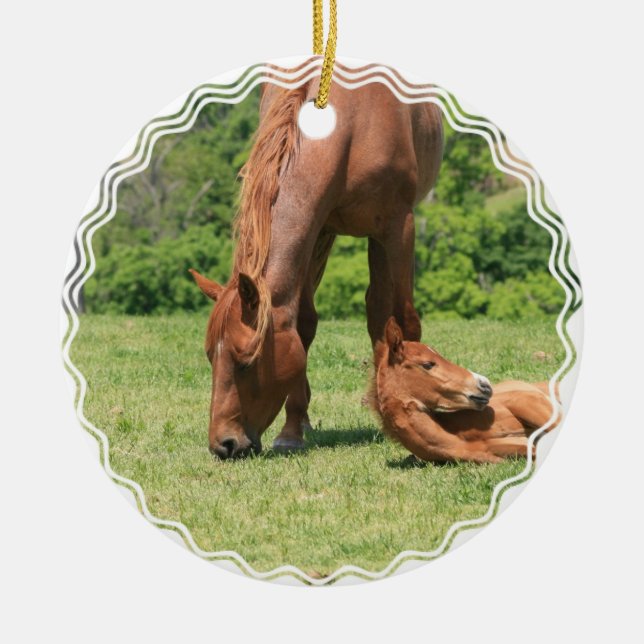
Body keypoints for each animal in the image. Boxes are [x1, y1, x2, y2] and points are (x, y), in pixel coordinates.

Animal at [190, 64, 444, 459]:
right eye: (209, 357)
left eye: (246, 362)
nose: (224, 444)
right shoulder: (315, 226)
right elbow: (303, 325)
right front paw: (292, 429)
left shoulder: (399, 225)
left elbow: (404, 318)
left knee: (380, 310)